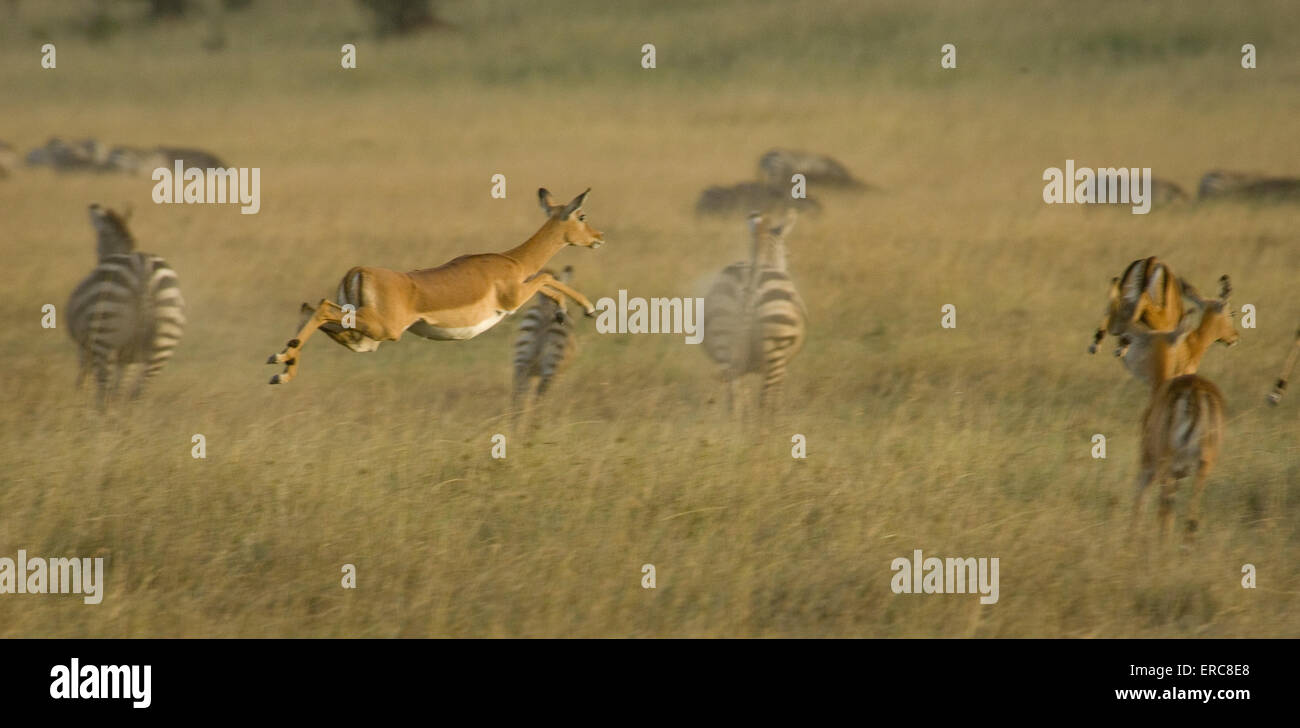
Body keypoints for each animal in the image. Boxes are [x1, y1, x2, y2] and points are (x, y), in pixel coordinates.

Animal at [66, 205, 184, 405]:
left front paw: (78, 401)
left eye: (97, 244)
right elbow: (120, 388)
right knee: (138, 394)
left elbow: (84, 379)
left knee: (104, 393)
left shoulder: (85, 347)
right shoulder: (128, 358)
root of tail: (143, 268)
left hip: (104, 338)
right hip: (164, 339)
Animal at [512, 263, 579, 413]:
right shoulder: (558, 374)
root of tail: (545, 313)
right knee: (540, 398)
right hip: (551, 365)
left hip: (521, 362)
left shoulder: (532, 372)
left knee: (518, 397)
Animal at [707, 210, 806, 416]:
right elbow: (776, 398)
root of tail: (750, 281)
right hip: (775, 350)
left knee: (734, 402)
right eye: (788, 254)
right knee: (765, 404)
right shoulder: (783, 366)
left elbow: (744, 397)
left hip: (723, 340)